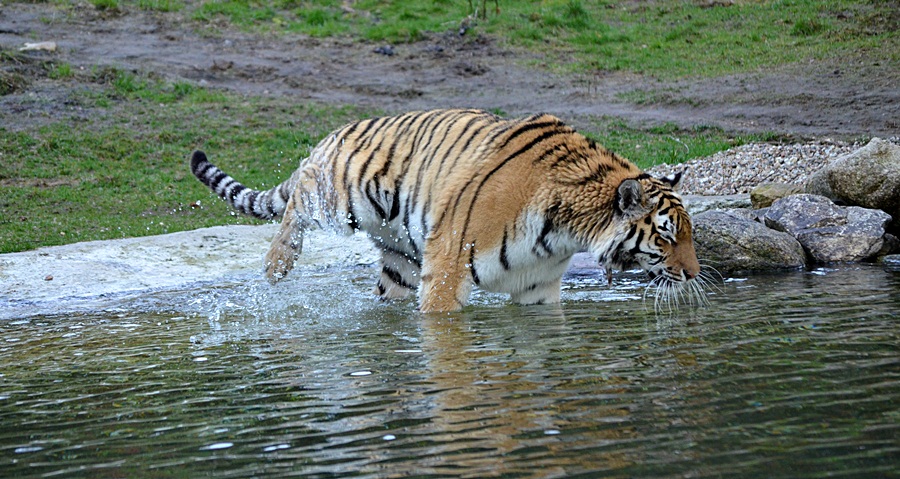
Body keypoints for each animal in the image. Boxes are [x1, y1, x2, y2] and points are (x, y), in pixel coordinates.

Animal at [193, 108, 704, 316]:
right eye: (664, 235)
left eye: (689, 234)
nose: (695, 275)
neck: (566, 231)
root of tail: (338, 130)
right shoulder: (447, 263)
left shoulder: (538, 288)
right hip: (342, 198)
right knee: (299, 196)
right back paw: (276, 264)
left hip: (400, 257)